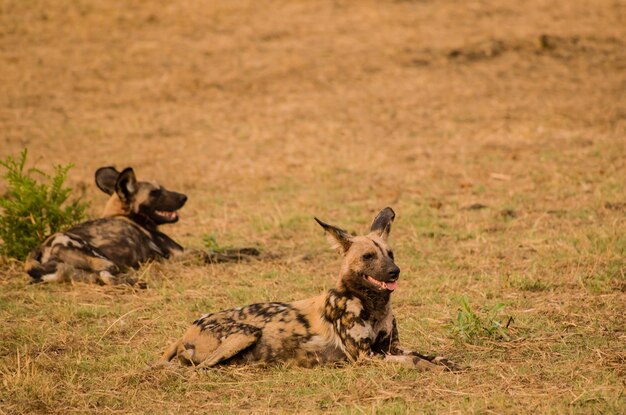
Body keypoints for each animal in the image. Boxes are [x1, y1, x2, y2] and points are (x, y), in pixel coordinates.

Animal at [22, 166, 188, 286]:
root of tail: (40, 250)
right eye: (155, 192)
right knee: (106, 273)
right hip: (101, 258)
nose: (184, 197)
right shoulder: (179, 252)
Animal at [156, 210, 458, 372]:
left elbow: (428, 355)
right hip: (246, 333)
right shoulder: (364, 356)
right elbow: (414, 361)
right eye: (368, 257)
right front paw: (433, 369)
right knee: (200, 368)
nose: (395, 271)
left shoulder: (389, 347)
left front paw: (447, 363)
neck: (373, 304)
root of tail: (188, 329)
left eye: (390, 254)